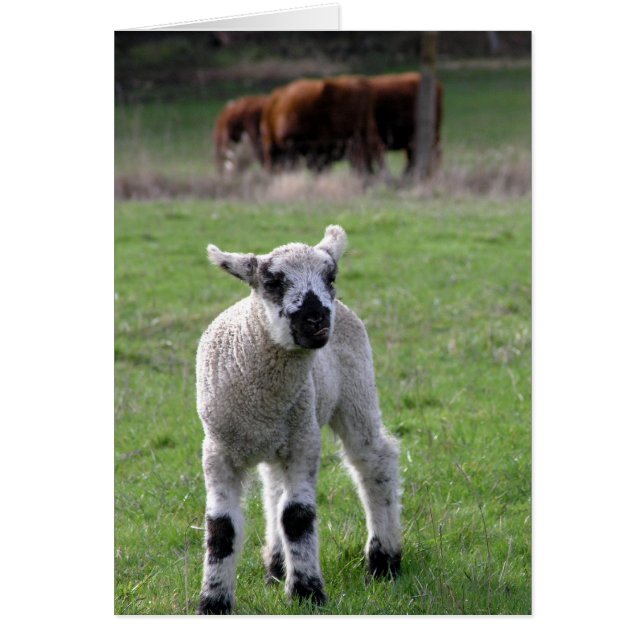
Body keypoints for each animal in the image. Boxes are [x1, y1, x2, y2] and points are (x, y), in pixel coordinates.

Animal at [196, 225, 401, 614]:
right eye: (272, 282)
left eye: (331, 277)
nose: (316, 318)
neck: (261, 400)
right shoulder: (218, 451)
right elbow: (221, 529)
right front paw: (212, 602)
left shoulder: (304, 441)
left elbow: (296, 517)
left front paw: (307, 592)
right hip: (281, 438)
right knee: (274, 489)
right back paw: (276, 566)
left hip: (356, 390)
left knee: (374, 461)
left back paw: (384, 560)